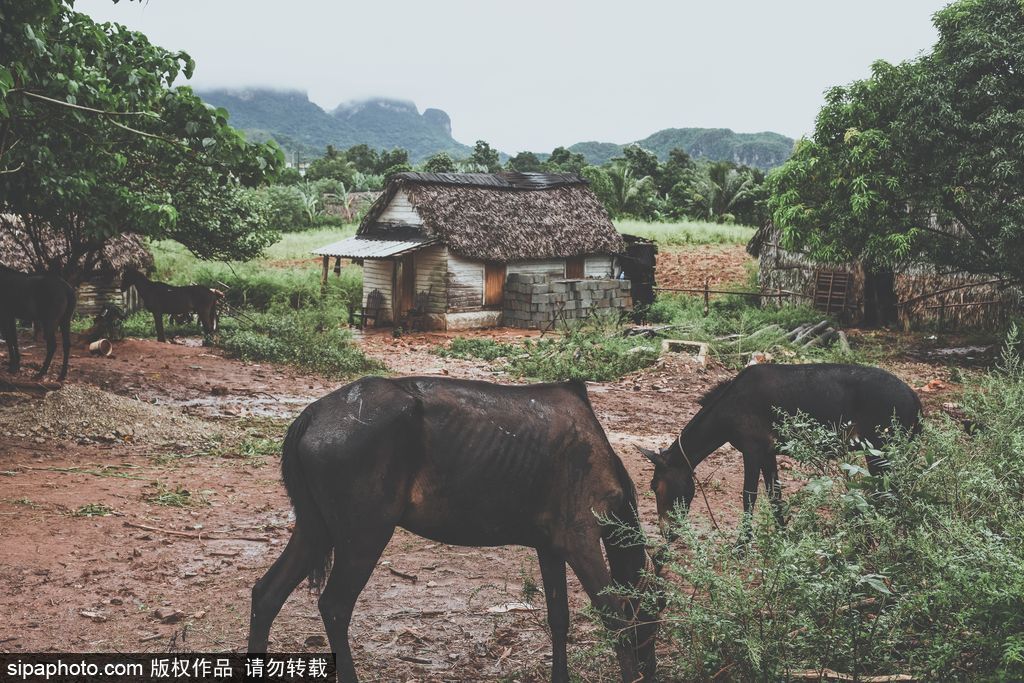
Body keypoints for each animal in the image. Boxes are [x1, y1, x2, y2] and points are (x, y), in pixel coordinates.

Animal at [251, 376, 659, 679]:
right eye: (657, 611)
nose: (651, 672)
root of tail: (311, 414)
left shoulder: (550, 546)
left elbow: (559, 619)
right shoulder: (581, 538)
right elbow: (617, 617)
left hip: (315, 528)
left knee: (266, 593)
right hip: (363, 536)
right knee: (334, 606)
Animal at [638, 362, 921, 528]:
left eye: (654, 485)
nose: (666, 531)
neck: (726, 412)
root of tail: (915, 398)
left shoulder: (752, 449)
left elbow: (749, 497)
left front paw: (742, 547)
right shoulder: (768, 452)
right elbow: (775, 495)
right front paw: (783, 534)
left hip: (881, 450)